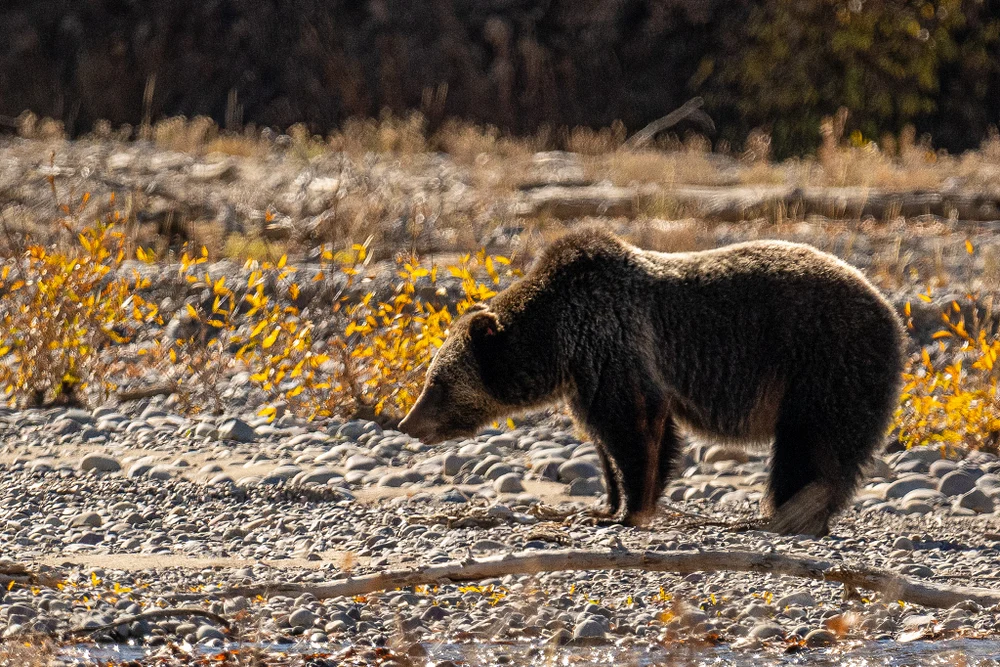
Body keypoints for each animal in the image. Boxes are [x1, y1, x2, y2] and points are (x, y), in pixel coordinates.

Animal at [398, 228, 905, 536]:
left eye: (435, 382)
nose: (407, 423)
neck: (557, 342)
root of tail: (891, 312)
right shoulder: (587, 376)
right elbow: (608, 440)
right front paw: (605, 504)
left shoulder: (613, 345)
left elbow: (634, 428)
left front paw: (628, 510)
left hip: (823, 363)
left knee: (810, 446)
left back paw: (786, 513)